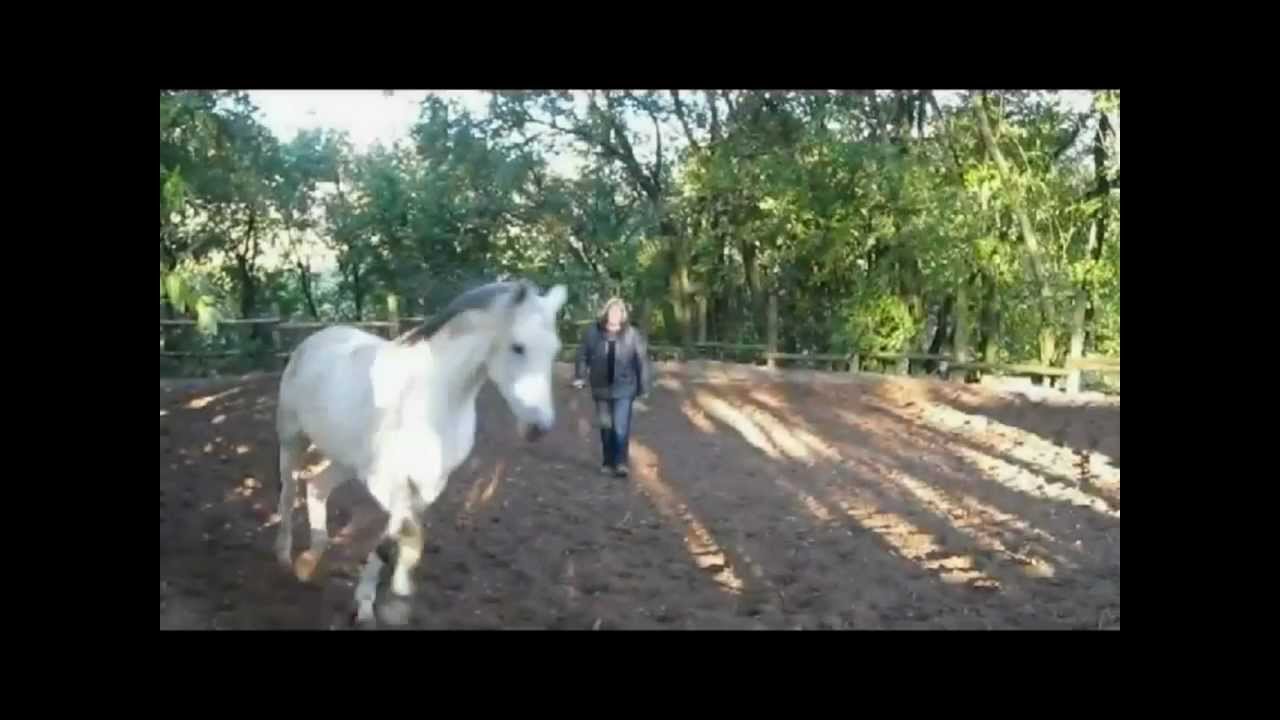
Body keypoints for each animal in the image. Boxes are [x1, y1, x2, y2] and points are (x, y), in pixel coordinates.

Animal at [274, 280, 568, 627]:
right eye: (518, 347)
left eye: (555, 350)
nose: (539, 427)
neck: (432, 399)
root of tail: (316, 339)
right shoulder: (383, 482)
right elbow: (407, 536)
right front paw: (391, 603)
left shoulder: (427, 487)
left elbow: (394, 541)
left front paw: (372, 604)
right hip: (292, 440)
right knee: (289, 492)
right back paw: (287, 558)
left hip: (346, 460)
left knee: (317, 486)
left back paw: (310, 560)